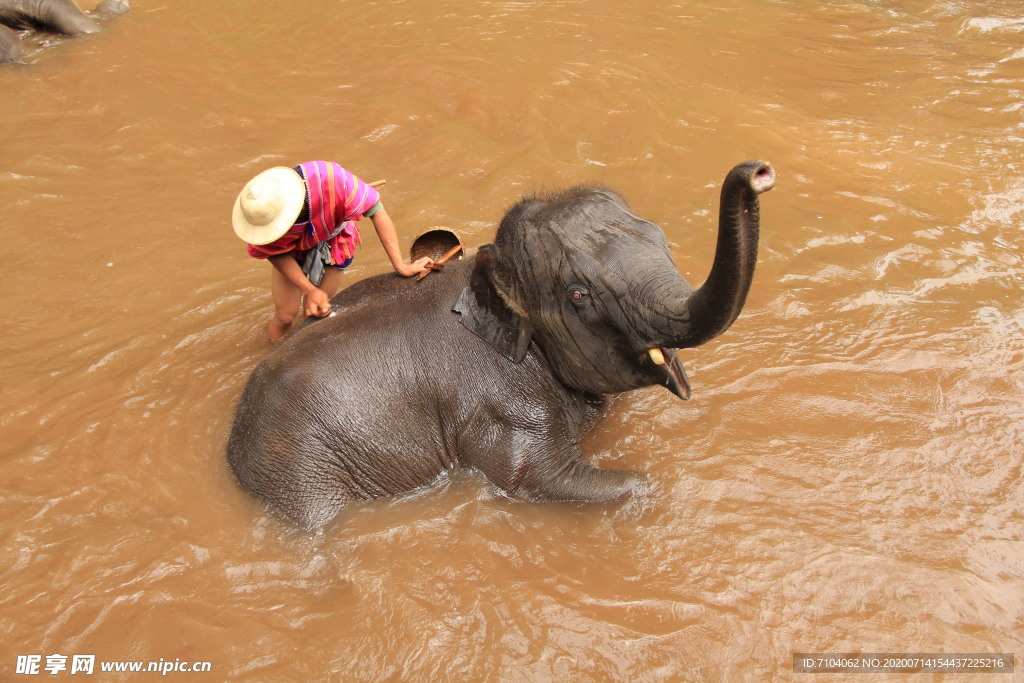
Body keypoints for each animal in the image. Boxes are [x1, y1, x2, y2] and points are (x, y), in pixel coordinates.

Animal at [226, 161, 774, 532]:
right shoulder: (503, 406)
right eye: (578, 295)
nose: (760, 173)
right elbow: (530, 477)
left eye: (662, 240)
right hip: (301, 471)